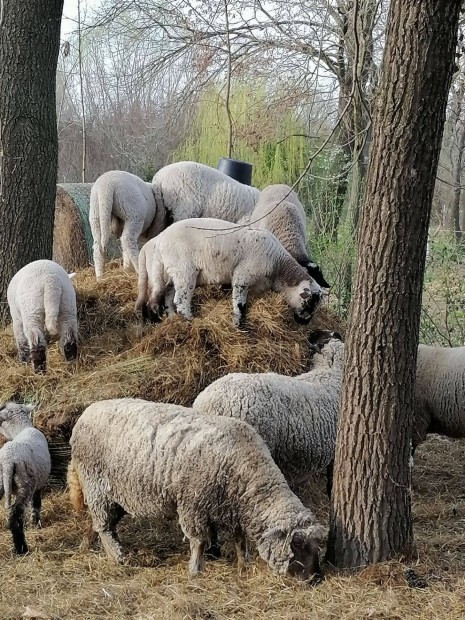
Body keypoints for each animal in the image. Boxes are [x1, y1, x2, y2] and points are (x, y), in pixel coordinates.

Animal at [0, 404, 51, 556]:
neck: (22, 429)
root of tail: (8, 461)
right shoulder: (38, 484)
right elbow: (36, 504)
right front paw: (35, 523)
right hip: (24, 484)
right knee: (15, 517)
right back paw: (21, 549)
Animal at [68, 398, 326, 580]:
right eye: (296, 544)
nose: (315, 579)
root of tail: (86, 413)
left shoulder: (231, 508)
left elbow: (239, 538)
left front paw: (244, 564)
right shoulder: (193, 505)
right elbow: (199, 541)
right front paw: (195, 570)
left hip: (113, 493)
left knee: (99, 521)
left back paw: (90, 544)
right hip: (96, 483)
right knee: (104, 525)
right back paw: (117, 556)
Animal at [134, 217, 322, 326]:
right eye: (311, 303)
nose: (305, 324)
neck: (278, 265)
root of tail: (158, 239)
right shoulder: (242, 276)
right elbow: (239, 305)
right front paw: (237, 325)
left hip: (173, 271)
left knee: (166, 296)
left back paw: (172, 319)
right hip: (184, 270)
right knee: (179, 301)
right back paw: (189, 321)